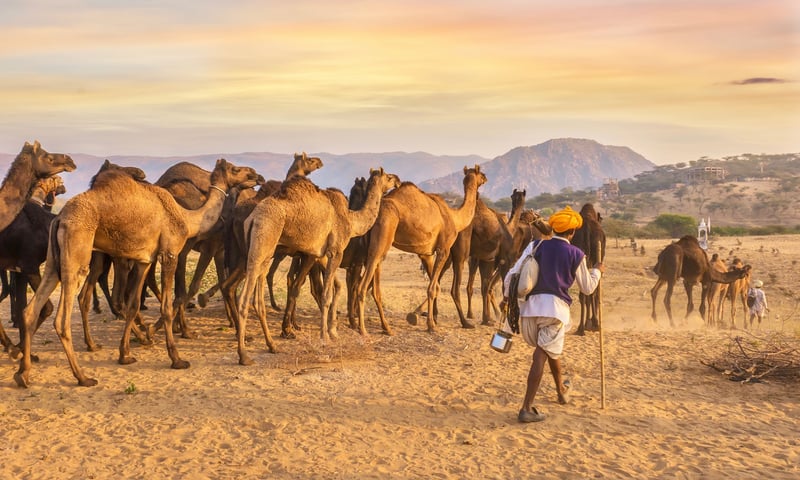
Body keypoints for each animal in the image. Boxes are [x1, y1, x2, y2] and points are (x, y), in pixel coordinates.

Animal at [15, 159, 260, 387]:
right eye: (236, 169)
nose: (256, 175)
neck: (186, 217)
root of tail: (60, 218)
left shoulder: (144, 260)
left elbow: (133, 305)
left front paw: (125, 354)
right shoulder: (170, 253)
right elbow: (168, 305)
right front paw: (177, 358)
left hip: (53, 262)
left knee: (31, 310)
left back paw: (23, 374)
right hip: (77, 252)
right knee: (62, 319)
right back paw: (82, 377)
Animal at [234, 168, 399, 365]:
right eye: (388, 177)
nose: (397, 180)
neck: (351, 219)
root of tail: (252, 218)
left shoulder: (319, 254)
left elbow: (331, 289)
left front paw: (332, 332)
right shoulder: (336, 251)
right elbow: (326, 295)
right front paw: (325, 337)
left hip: (267, 250)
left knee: (259, 297)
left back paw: (272, 346)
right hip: (263, 239)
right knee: (244, 297)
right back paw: (244, 355)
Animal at [355, 165, 487, 337]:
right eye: (481, 174)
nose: (486, 178)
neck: (454, 217)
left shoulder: (426, 253)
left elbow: (436, 286)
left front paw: (427, 318)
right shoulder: (443, 249)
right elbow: (431, 288)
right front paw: (432, 325)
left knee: (375, 288)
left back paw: (386, 328)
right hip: (382, 237)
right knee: (363, 284)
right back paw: (363, 329)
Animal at [571, 203, 606, 335]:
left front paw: (588, 323)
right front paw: (591, 322)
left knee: (583, 293)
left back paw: (581, 328)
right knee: (593, 291)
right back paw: (594, 324)